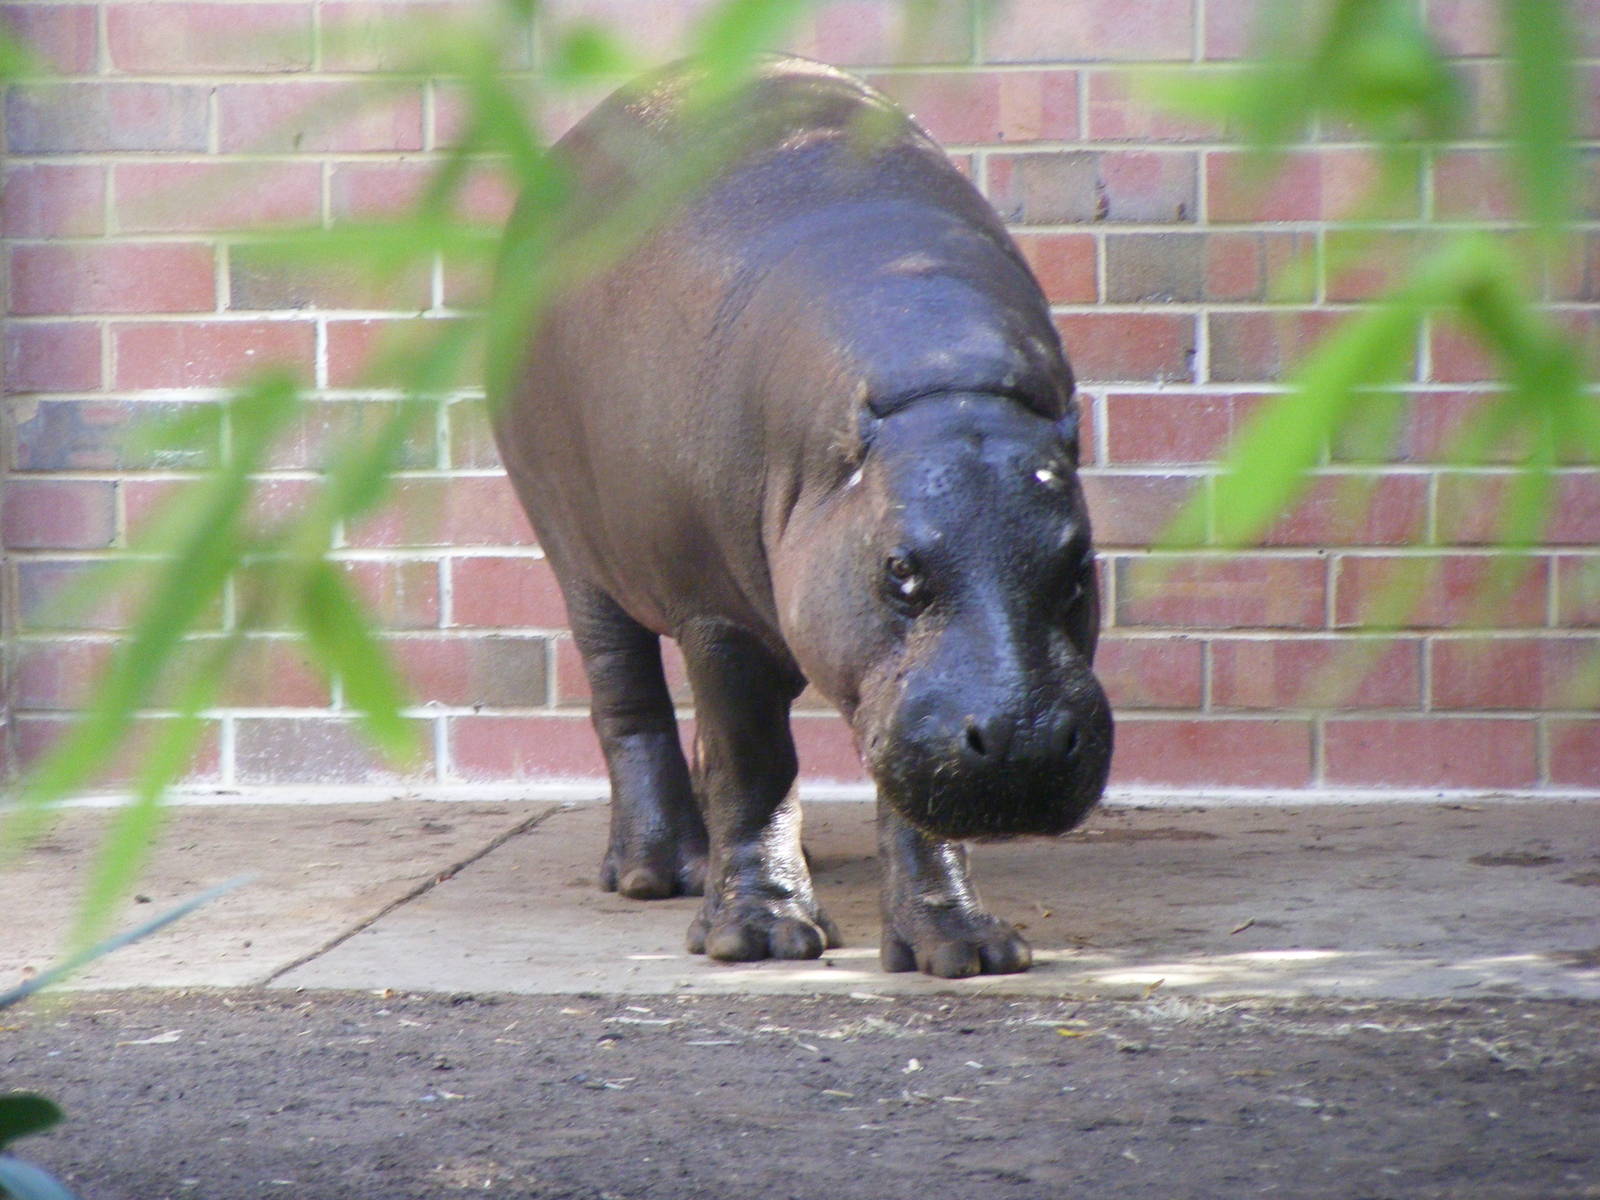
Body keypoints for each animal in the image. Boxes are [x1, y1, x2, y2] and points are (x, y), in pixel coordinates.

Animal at [492, 57, 1113, 978]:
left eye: (1078, 567)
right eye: (900, 570)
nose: (1024, 741)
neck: (938, 374)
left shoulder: (893, 685)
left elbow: (906, 805)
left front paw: (966, 949)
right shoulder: (715, 616)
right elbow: (754, 762)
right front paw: (759, 937)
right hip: (579, 555)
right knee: (628, 700)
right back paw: (657, 872)